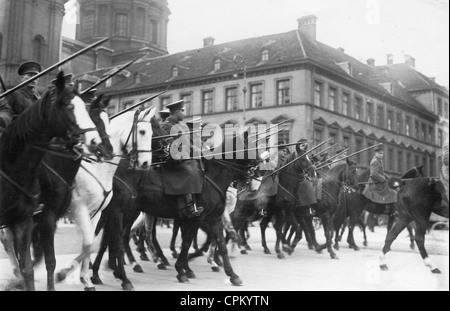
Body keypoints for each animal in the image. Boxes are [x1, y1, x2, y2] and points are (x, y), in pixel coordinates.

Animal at [0, 72, 101, 292]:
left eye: (85, 107)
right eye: (69, 106)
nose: (95, 142)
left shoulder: (23, 222)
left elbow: (31, 267)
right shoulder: (47, 216)